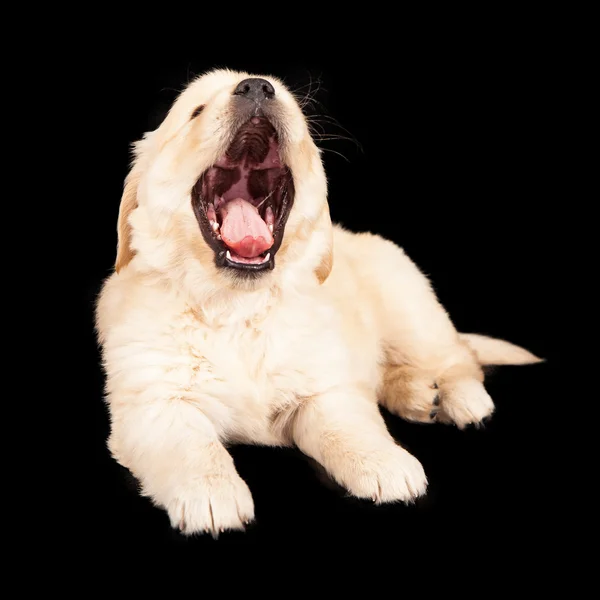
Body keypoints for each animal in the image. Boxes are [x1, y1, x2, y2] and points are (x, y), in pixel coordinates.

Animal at [96, 69, 540, 536]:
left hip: (411, 308)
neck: (237, 306)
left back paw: (461, 398)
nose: (256, 87)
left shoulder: (324, 388)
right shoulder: (153, 401)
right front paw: (211, 492)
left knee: (459, 356)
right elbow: (193, 446)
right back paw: (421, 395)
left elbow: (348, 426)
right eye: (195, 111)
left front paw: (384, 462)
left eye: (291, 107)